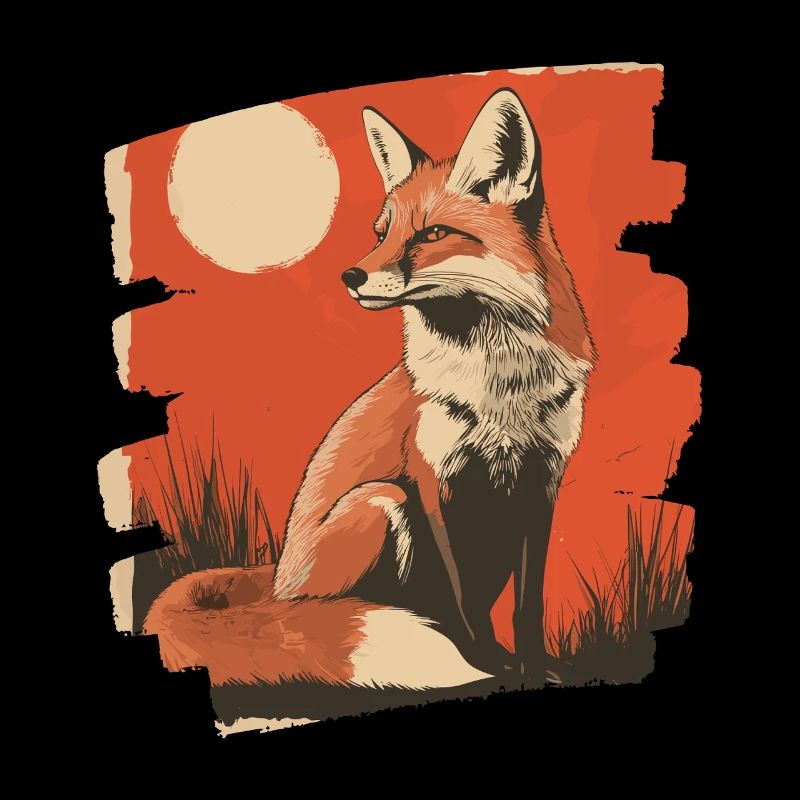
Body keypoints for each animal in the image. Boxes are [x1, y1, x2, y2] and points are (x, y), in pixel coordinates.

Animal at [145, 87, 596, 693]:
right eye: (381, 233)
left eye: (432, 234)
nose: (350, 277)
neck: (499, 388)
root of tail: (277, 579)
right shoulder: (431, 482)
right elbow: (463, 600)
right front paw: (485, 665)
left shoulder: (541, 482)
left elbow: (527, 605)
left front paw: (534, 667)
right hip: (382, 501)